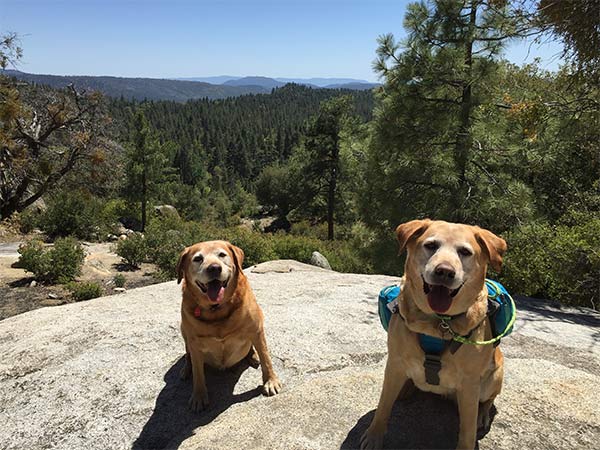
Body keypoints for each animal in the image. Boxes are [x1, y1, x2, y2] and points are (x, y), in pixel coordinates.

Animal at [358, 219, 516, 450]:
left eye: (465, 252)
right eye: (431, 245)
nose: (444, 271)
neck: (438, 322)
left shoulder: (470, 384)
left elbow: (467, 430)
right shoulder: (394, 364)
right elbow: (384, 405)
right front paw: (374, 436)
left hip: (492, 378)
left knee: (488, 400)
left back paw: (482, 415)